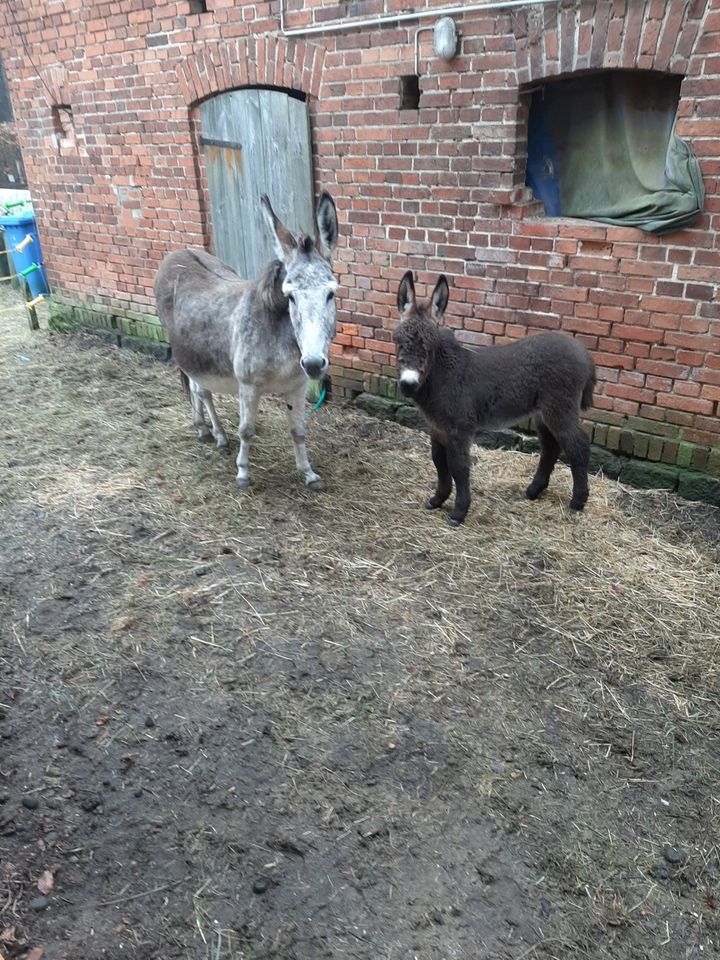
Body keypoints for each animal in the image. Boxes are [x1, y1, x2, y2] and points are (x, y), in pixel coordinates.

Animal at [394, 272, 596, 524]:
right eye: (398, 343)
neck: (442, 374)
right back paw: (533, 491)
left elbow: (458, 467)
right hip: (543, 413)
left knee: (578, 446)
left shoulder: (460, 429)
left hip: (560, 408)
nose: (408, 385)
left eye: (430, 348)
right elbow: (439, 462)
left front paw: (459, 512)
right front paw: (437, 499)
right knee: (551, 447)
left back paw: (577, 502)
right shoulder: (437, 429)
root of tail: (584, 352)